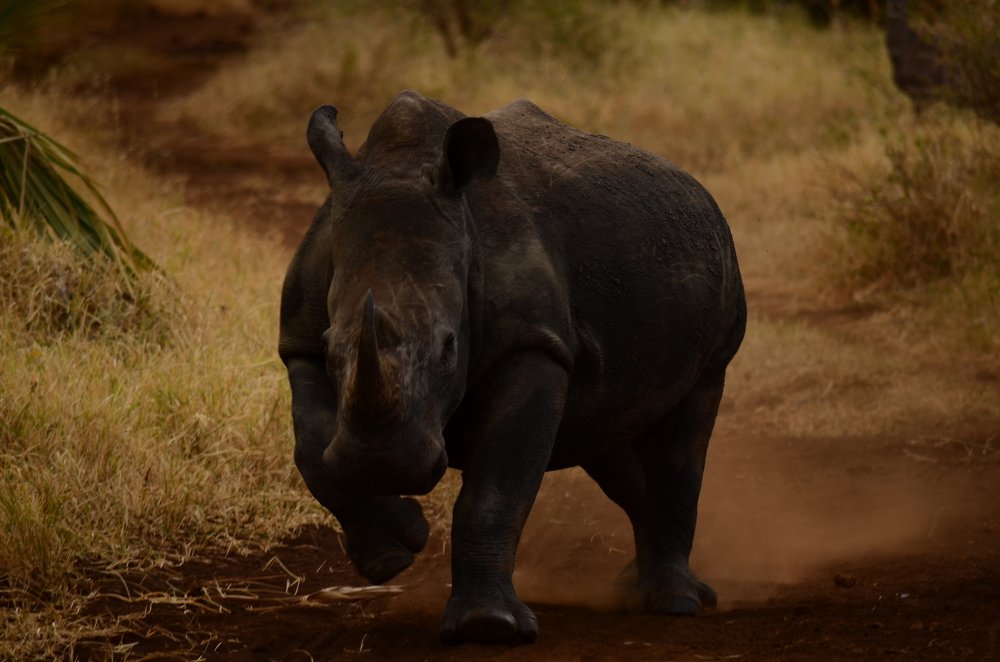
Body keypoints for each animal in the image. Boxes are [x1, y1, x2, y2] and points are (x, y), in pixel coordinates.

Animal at [279, 91, 746, 645]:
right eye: (332, 350)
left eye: (449, 349)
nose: (384, 464)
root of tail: (700, 190)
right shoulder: (300, 341)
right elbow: (313, 448)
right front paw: (393, 551)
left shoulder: (532, 345)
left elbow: (496, 486)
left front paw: (488, 626)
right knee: (605, 436)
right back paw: (640, 586)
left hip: (719, 300)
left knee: (687, 425)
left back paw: (676, 603)